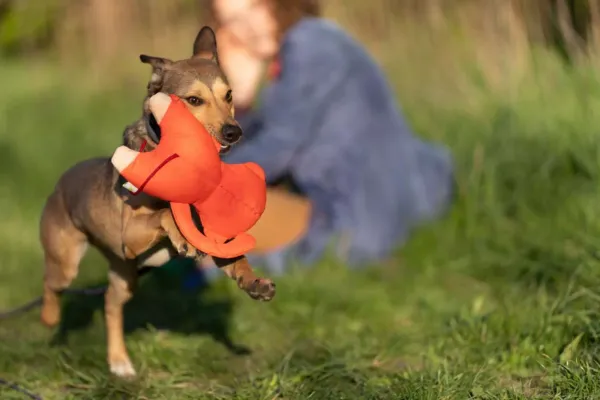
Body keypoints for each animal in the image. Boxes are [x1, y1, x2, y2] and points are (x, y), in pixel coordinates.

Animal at [39, 25, 276, 378]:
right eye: (193, 100)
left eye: (230, 95)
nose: (233, 132)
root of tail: (60, 184)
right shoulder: (129, 236)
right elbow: (164, 213)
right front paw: (180, 236)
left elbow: (236, 258)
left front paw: (254, 283)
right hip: (69, 260)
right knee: (53, 285)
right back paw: (50, 319)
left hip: (125, 274)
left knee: (110, 304)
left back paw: (119, 362)